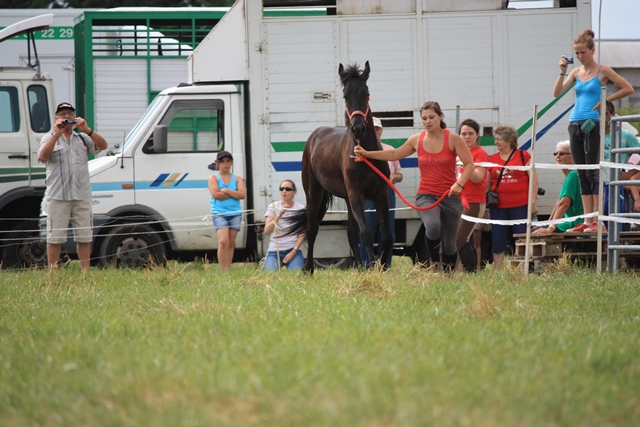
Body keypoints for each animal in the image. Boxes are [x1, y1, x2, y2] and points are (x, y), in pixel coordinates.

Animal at [288, 61, 390, 272]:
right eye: (345, 96)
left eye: (366, 94)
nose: (358, 128)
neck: (365, 154)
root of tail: (315, 135)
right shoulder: (356, 194)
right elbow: (366, 234)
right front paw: (374, 268)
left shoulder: (380, 194)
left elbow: (386, 236)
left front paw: (383, 267)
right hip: (314, 192)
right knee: (311, 229)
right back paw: (308, 268)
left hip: (347, 198)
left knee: (350, 233)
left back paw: (359, 266)